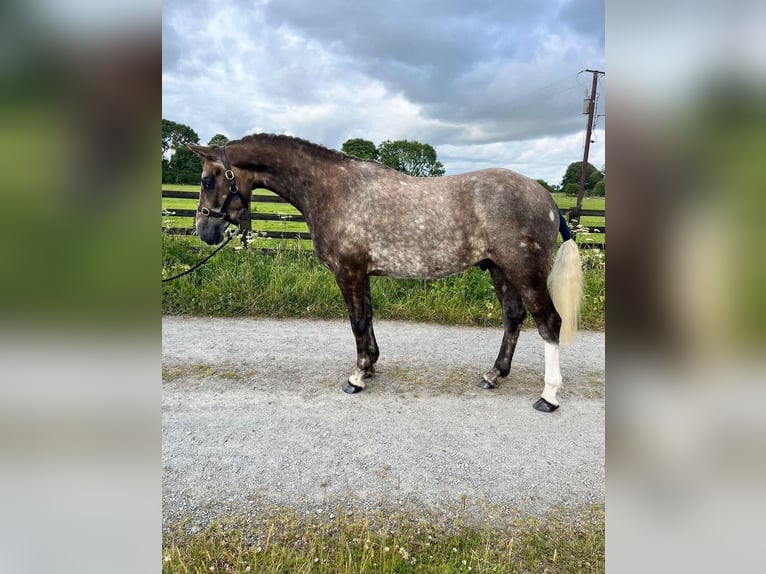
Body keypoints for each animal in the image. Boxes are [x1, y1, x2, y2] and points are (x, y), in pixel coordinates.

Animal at [189, 134, 584, 414]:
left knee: (549, 323)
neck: (331, 189)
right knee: (513, 318)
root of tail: (547, 198)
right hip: (500, 271)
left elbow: (357, 321)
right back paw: (493, 375)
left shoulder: (347, 272)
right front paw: (371, 366)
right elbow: (367, 316)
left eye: (208, 181)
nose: (204, 231)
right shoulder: (361, 273)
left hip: (524, 272)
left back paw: (549, 396)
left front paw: (357, 376)